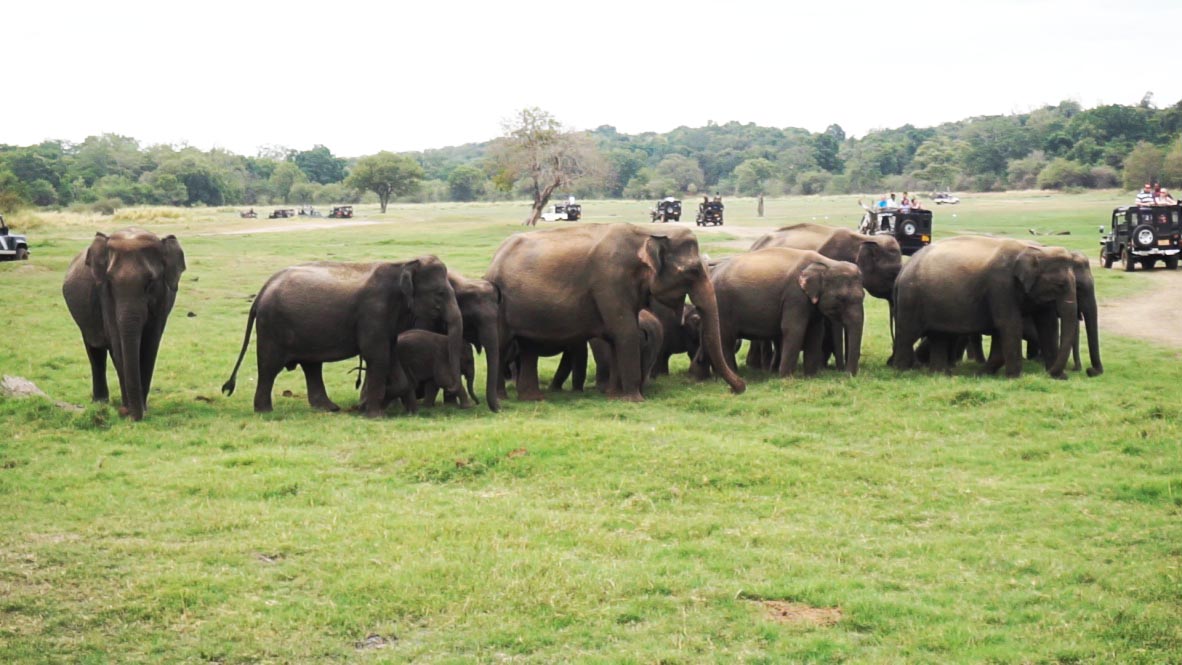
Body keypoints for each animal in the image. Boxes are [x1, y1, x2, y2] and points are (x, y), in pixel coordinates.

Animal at [62, 226, 185, 418]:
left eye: (150, 282)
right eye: (110, 281)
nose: (123, 411)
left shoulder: (163, 298)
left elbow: (150, 346)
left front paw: (142, 409)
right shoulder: (105, 296)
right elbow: (117, 346)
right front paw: (132, 410)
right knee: (95, 351)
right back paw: (100, 403)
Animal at [223, 255, 463, 415]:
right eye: (440, 293)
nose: (452, 387)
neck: (404, 263)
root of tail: (263, 289)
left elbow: (390, 353)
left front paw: (379, 405)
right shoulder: (373, 312)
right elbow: (377, 355)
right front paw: (375, 414)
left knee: (311, 366)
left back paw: (330, 408)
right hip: (272, 326)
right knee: (269, 366)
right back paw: (265, 411)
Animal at [484, 222, 742, 401]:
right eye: (694, 271)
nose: (739, 388)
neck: (647, 231)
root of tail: (494, 259)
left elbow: (617, 336)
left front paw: (614, 396)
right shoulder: (610, 281)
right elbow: (625, 332)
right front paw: (635, 400)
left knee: (528, 347)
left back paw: (533, 399)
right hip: (501, 303)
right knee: (503, 344)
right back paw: (502, 398)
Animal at [695, 246, 865, 377]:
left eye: (863, 296)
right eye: (841, 299)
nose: (846, 375)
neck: (827, 263)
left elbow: (815, 332)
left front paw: (811, 376)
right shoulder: (794, 296)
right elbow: (794, 329)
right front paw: (786, 378)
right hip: (721, 306)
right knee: (726, 341)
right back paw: (734, 375)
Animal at [888, 236, 1077, 377]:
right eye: (1060, 285)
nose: (1050, 374)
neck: (1033, 250)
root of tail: (902, 272)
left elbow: (1048, 326)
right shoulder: (1001, 286)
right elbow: (1009, 324)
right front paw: (1015, 377)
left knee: (938, 336)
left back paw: (941, 373)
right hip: (911, 298)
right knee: (908, 334)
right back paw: (903, 371)